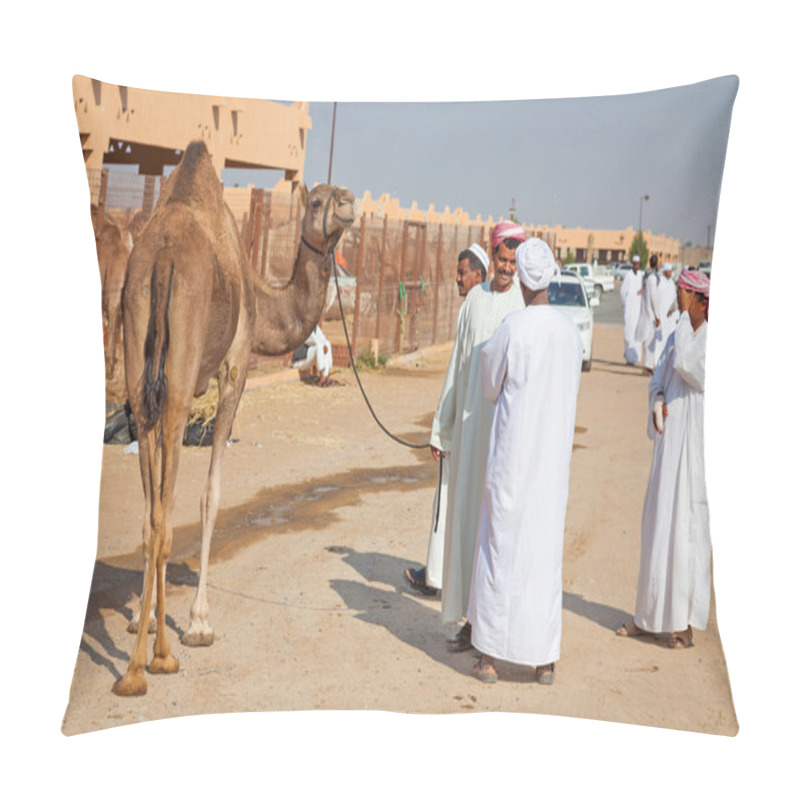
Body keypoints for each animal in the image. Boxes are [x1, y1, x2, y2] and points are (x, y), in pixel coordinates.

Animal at [111, 142, 354, 692]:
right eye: (316, 201)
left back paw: (141, 653)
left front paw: (142, 615)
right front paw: (198, 622)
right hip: (177, 387)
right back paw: (154, 661)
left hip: (139, 368)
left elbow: (157, 502)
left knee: (152, 510)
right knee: (164, 514)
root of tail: (161, 258)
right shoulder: (235, 368)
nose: (350, 203)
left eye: (339, 195)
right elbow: (209, 495)